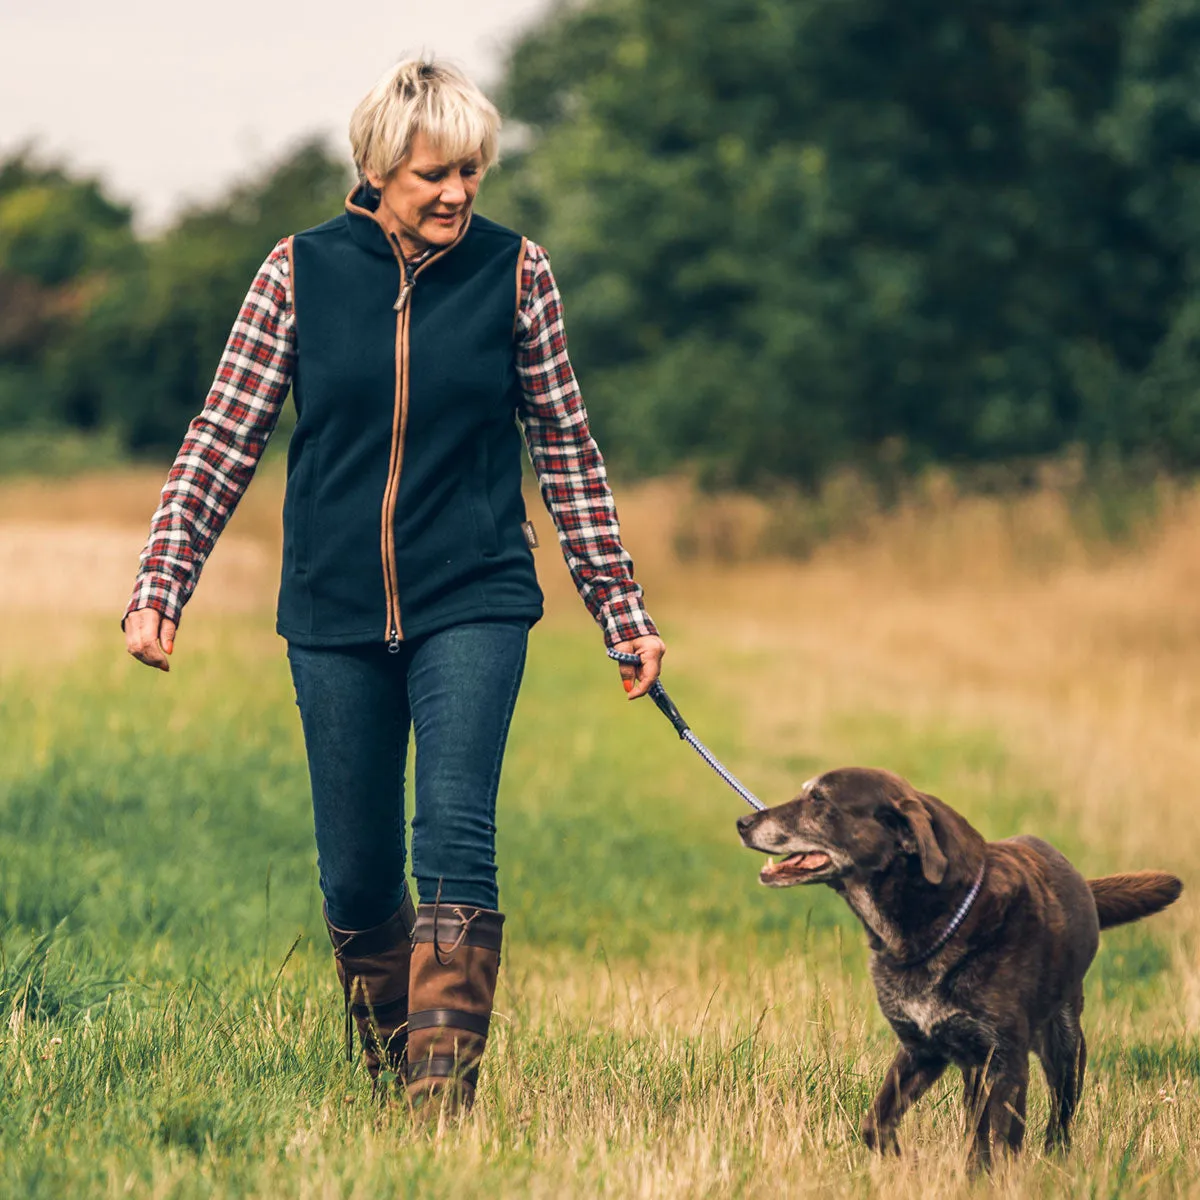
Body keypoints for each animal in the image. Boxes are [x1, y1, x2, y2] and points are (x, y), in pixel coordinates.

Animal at [734, 763, 1185, 1166]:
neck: (935, 923)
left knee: (1057, 1122)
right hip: (979, 1068)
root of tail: (1083, 885)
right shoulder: (922, 1050)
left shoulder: (1004, 1062)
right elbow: (876, 1125)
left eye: (819, 800)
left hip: (1064, 1046)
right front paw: (907, 1163)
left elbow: (996, 1147)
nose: (742, 821)